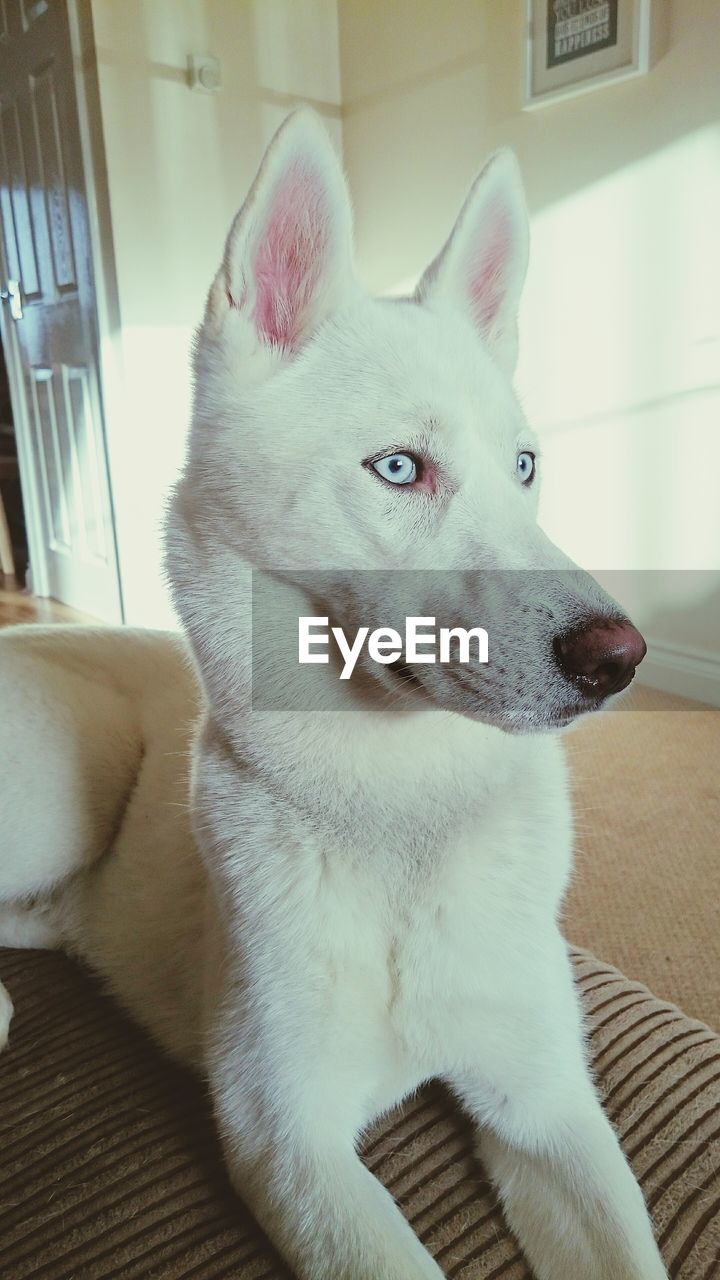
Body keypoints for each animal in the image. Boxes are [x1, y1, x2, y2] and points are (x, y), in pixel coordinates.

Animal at [0, 112, 661, 1280]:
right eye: (399, 468)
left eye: (526, 467)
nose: (617, 657)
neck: (399, 812)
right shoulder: (285, 1138)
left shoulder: (546, 1104)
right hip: (54, 795)